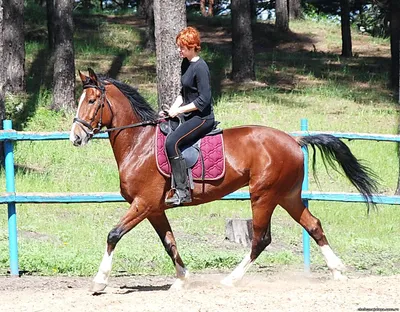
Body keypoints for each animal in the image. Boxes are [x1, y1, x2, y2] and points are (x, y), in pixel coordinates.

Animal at [70, 69, 380, 292]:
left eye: (92, 101)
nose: (76, 137)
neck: (139, 142)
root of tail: (294, 140)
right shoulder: (155, 208)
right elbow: (169, 242)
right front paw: (183, 278)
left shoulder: (143, 203)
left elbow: (114, 234)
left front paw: (100, 281)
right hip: (287, 196)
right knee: (314, 226)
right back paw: (338, 271)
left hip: (263, 196)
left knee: (261, 239)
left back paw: (231, 279)